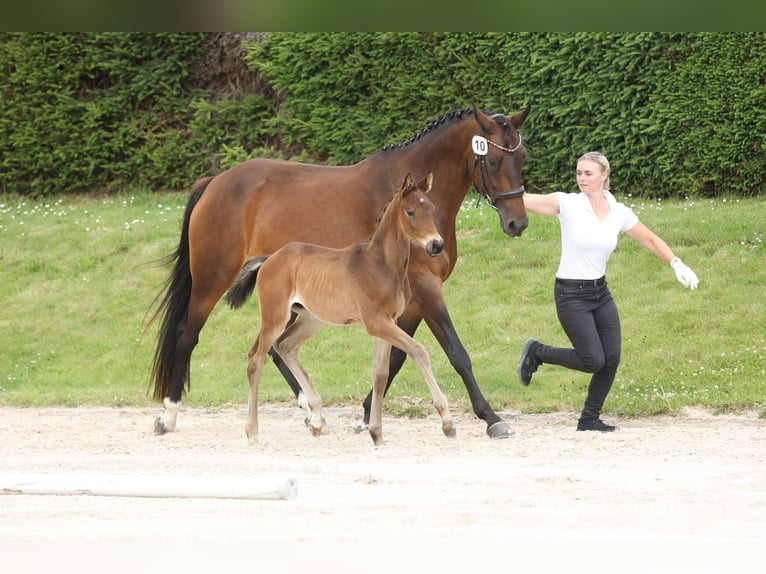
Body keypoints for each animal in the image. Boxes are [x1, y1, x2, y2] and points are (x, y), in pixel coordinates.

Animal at [226, 173, 456, 448]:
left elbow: (380, 374)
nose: (436, 245)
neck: (381, 265)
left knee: (286, 346)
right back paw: (252, 432)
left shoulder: (387, 323)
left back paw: (316, 418)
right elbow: (419, 351)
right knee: (256, 359)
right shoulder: (376, 323)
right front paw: (447, 422)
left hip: (311, 319)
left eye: (431, 208)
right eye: (410, 212)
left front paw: (376, 433)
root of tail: (269, 258)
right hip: (276, 317)